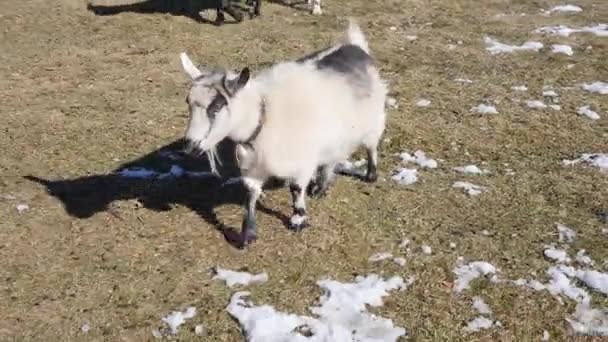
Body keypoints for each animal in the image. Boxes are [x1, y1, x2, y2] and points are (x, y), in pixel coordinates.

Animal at [178, 20, 388, 247]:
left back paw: (370, 175)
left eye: (217, 106)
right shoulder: (251, 166)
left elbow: (295, 189)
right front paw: (247, 234)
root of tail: (355, 46)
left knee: (371, 147)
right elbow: (250, 193)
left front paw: (298, 220)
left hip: (374, 122)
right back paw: (320, 187)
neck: (265, 116)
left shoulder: (301, 162)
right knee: (331, 159)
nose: (190, 146)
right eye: (188, 102)